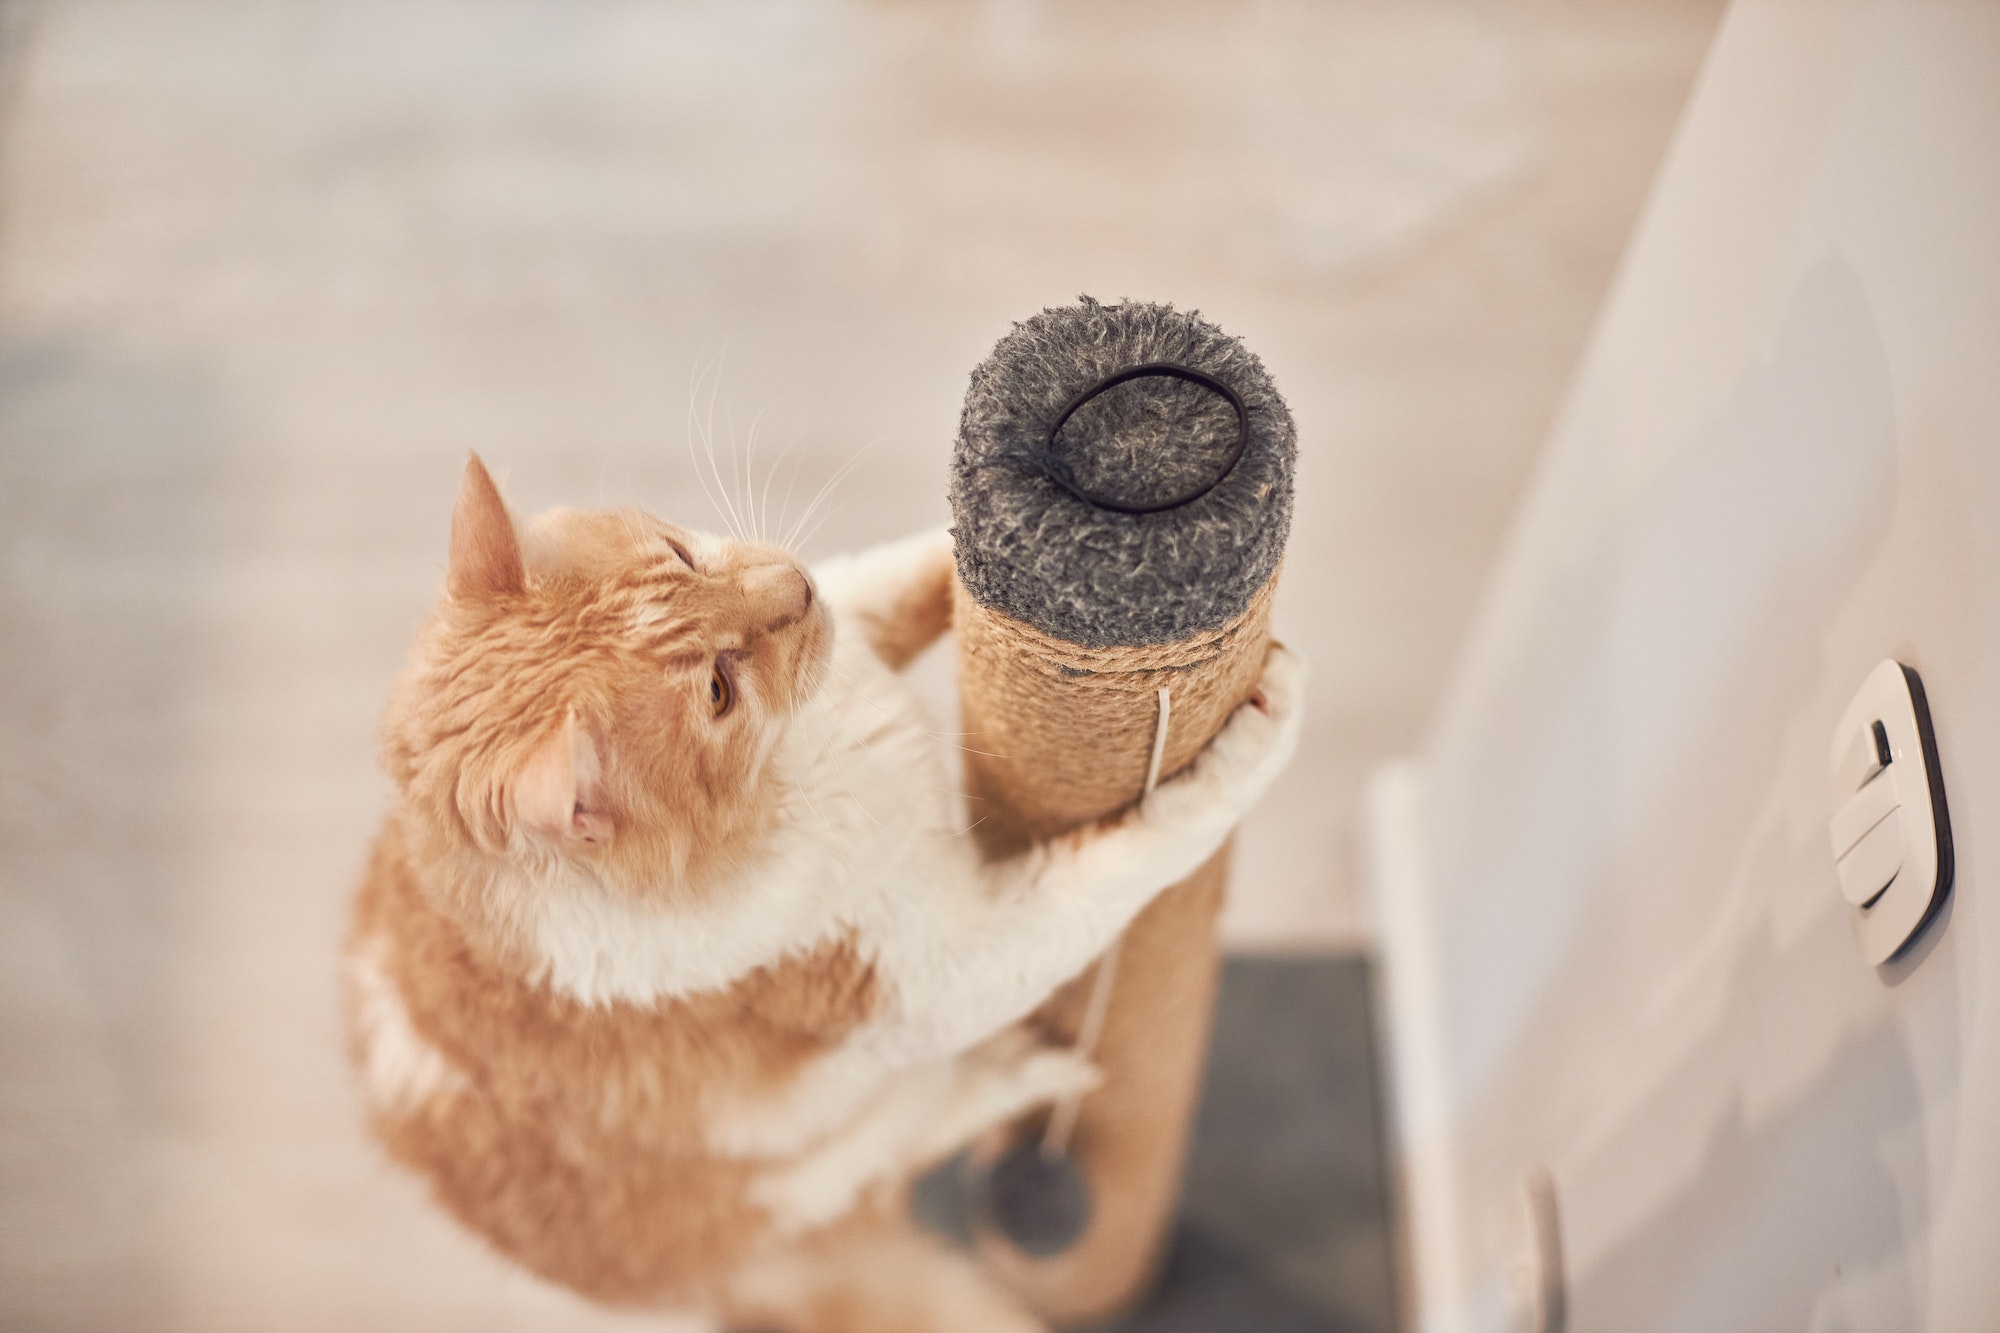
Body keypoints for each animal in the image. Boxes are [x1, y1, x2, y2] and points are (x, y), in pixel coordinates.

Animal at [344, 456, 1304, 1328]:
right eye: (719, 690)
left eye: (682, 556)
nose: (794, 588)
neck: (807, 754)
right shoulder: (942, 964)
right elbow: (1130, 856)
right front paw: (1252, 743)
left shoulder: (857, 610)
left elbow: (910, 569)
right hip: (838, 1142)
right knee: (915, 1138)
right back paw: (1025, 1072)